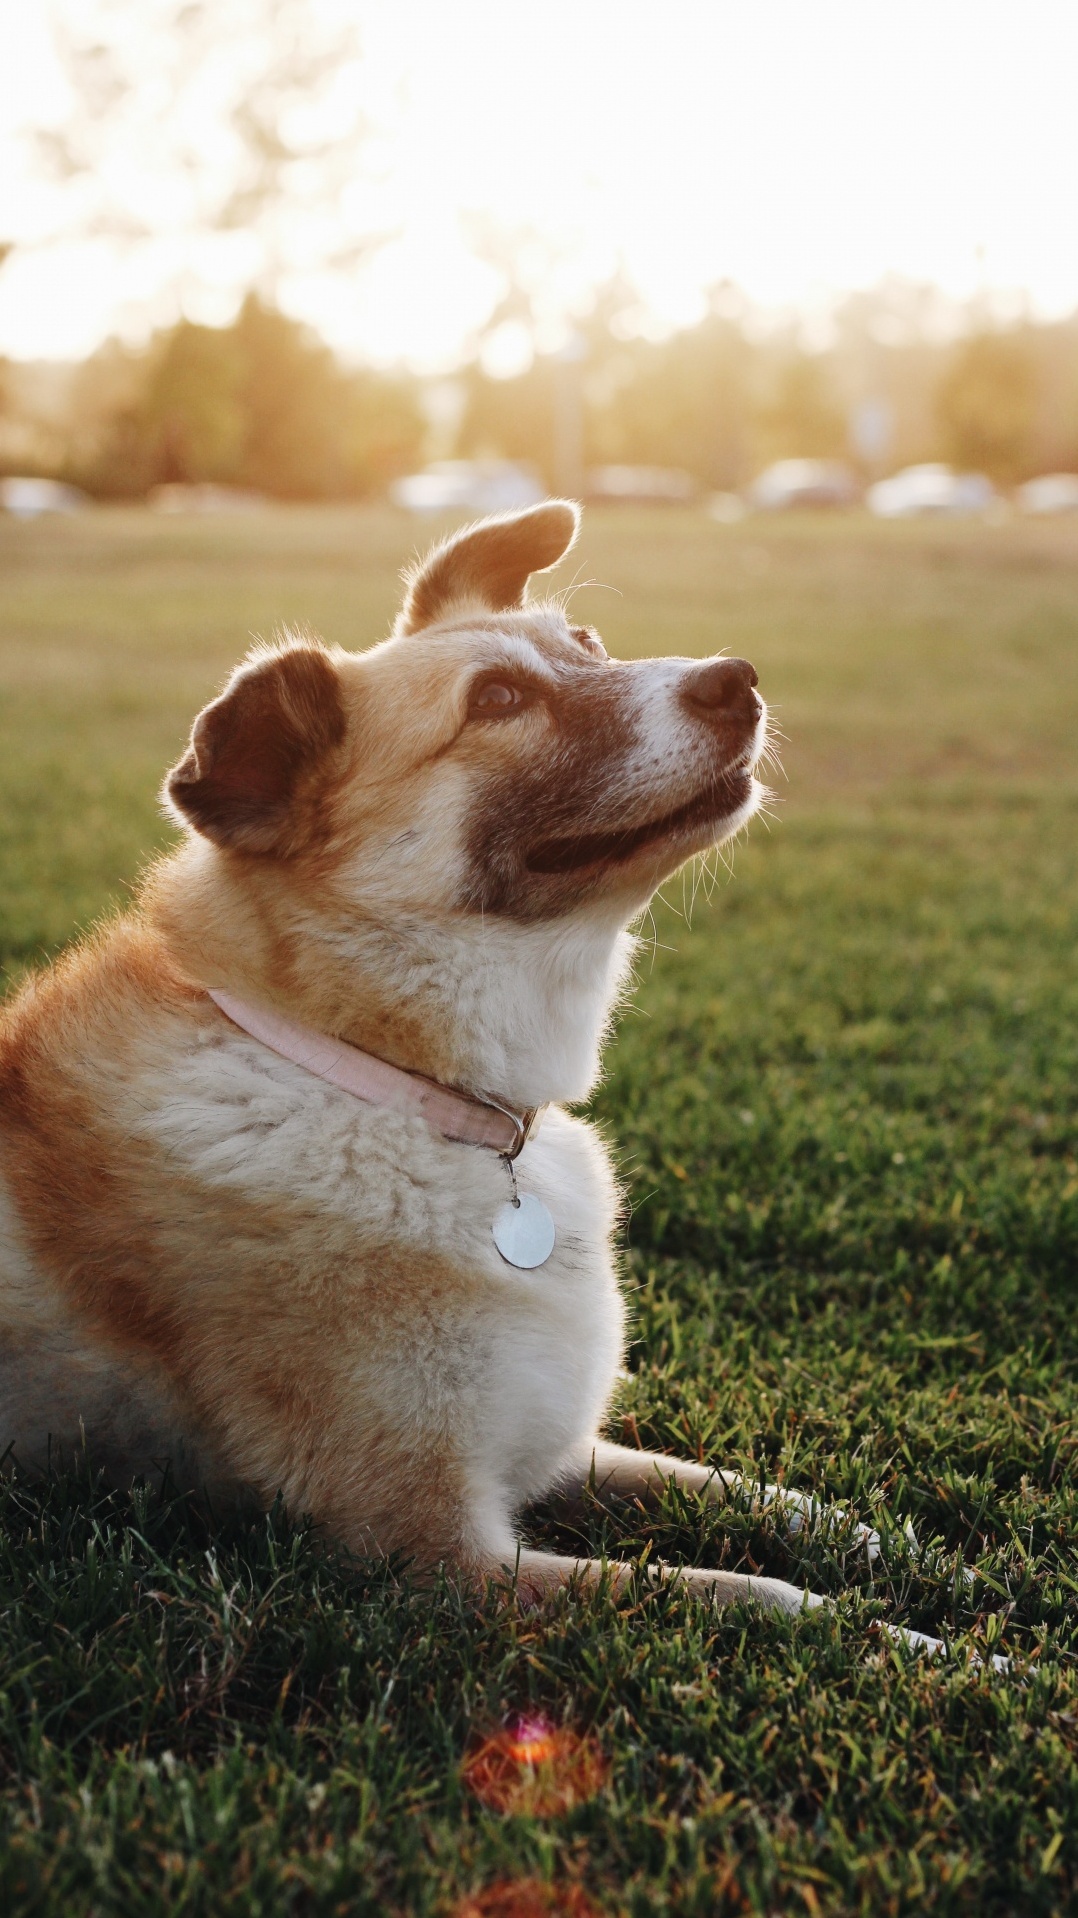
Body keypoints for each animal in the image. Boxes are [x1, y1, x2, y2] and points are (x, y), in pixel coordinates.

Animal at [0, 506, 832, 1618]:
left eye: (589, 647)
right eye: (498, 700)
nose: (736, 678)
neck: (397, 1088)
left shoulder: (559, 1451)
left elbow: (757, 1493)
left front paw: (922, 1552)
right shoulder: (439, 1555)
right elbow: (762, 1600)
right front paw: (929, 1638)